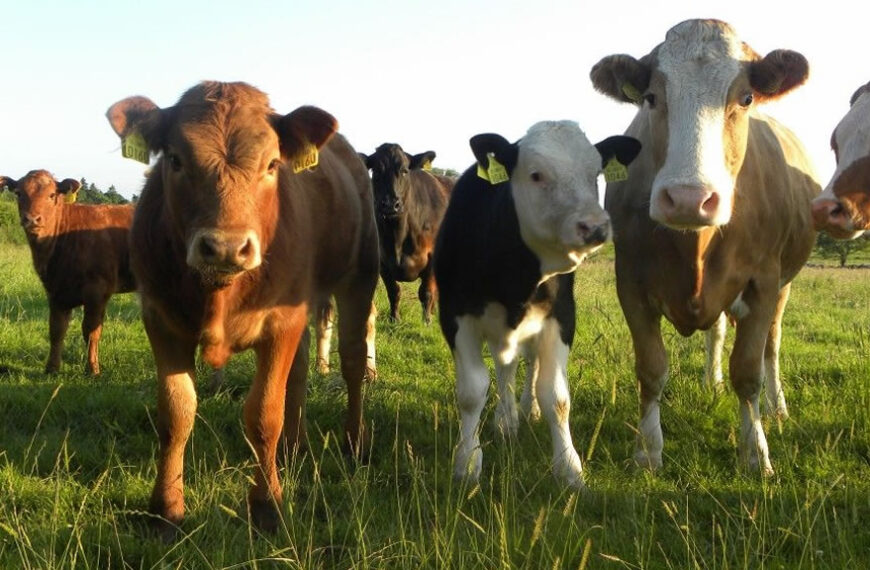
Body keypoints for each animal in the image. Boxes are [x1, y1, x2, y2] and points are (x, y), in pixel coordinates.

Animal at [0, 169, 135, 374]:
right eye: (18, 193)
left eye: (52, 195)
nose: (32, 219)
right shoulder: (55, 290)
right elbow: (56, 329)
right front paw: (52, 368)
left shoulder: (97, 289)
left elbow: (90, 331)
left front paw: (92, 369)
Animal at [104, 81, 378, 532]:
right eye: (176, 160)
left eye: (272, 164)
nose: (226, 247)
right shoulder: (161, 320)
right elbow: (175, 413)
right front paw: (165, 508)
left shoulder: (281, 323)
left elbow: (265, 414)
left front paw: (267, 506)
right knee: (300, 371)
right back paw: (294, 448)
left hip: (358, 278)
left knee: (353, 362)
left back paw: (354, 442)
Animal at [436, 122, 640, 486]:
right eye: (536, 175)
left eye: (596, 173)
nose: (594, 226)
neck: (514, 272)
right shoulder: (455, 315)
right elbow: (473, 391)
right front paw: (467, 462)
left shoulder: (562, 317)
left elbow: (555, 395)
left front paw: (569, 467)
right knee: (504, 368)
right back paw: (506, 420)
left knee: (525, 365)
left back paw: (522, 411)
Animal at [588, 17, 820, 472]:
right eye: (650, 97)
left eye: (746, 98)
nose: (688, 199)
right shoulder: (630, 281)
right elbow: (651, 368)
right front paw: (648, 451)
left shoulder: (764, 280)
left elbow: (748, 370)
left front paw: (756, 453)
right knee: (716, 331)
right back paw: (711, 383)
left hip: (785, 283)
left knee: (772, 345)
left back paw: (777, 408)